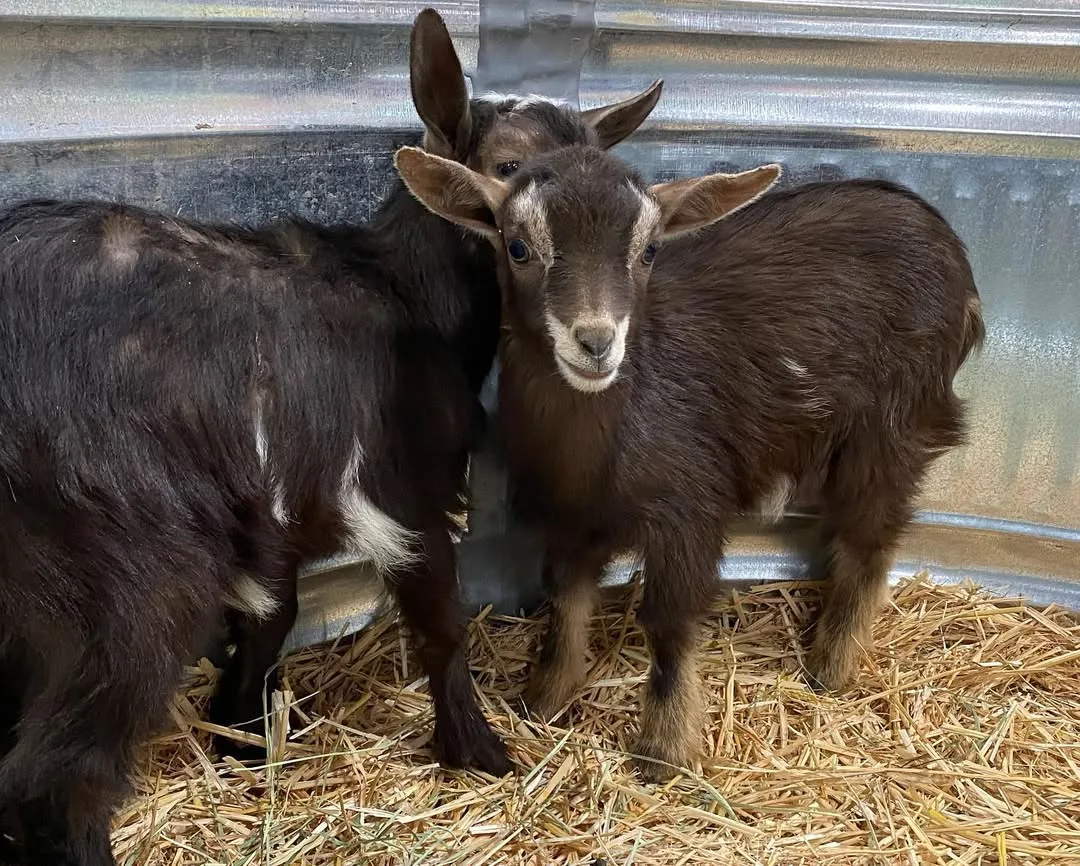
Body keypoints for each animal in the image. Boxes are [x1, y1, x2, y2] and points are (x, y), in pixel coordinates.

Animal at [0, 9, 663, 863]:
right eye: (507, 167)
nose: (595, 336)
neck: (406, 294)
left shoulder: (273, 511)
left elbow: (271, 616)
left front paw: (242, 737)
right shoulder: (401, 490)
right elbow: (440, 618)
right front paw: (480, 751)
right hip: (124, 558)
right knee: (55, 775)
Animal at [394, 142, 986, 782]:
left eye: (649, 250)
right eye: (517, 246)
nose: (595, 343)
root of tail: (950, 248)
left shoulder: (690, 508)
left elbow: (669, 624)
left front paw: (664, 749)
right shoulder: (570, 512)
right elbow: (566, 598)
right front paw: (546, 697)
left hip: (896, 425)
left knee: (870, 539)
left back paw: (831, 666)